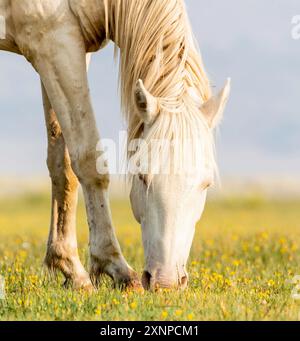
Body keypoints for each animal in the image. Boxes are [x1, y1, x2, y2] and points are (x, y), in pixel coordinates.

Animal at [0, 0, 230, 290]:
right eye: (142, 176)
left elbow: (63, 163)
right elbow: (88, 158)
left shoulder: (66, 50)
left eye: (207, 184)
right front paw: (114, 267)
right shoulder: (53, 43)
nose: (165, 282)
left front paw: (68, 267)